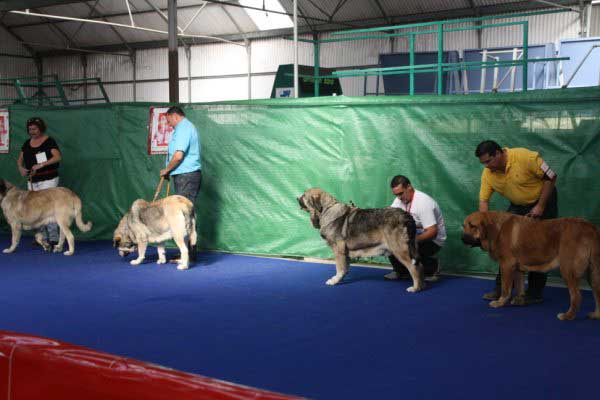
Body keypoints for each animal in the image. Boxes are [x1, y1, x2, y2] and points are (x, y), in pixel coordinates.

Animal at [462, 211, 600, 320]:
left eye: (473, 226)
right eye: (464, 226)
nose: (462, 238)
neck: (497, 229)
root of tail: (590, 227)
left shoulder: (506, 265)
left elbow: (505, 289)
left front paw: (500, 302)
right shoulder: (517, 269)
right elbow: (519, 287)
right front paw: (519, 300)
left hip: (568, 270)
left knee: (577, 297)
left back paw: (568, 316)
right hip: (592, 273)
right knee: (597, 294)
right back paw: (595, 315)